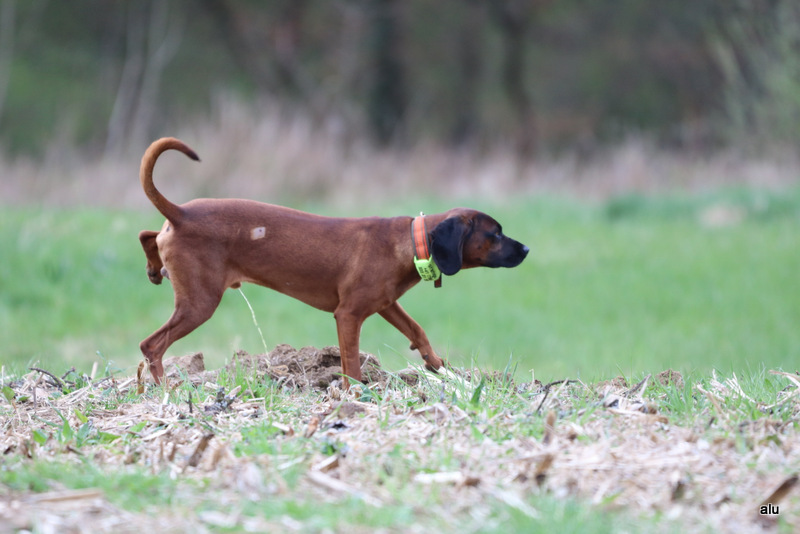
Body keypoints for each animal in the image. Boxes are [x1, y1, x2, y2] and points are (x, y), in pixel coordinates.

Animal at [138, 137, 529, 386]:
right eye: (495, 234)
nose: (525, 249)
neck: (409, 241)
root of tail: (182, 213)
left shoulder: (386, 303)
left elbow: (416, 329)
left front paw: (436, 364)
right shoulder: (349, 315)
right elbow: (351, 362)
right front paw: (355, 395)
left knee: (147, 234)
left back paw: (153, 269)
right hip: (200, 302)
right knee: (151, 345)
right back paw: (166, 391)